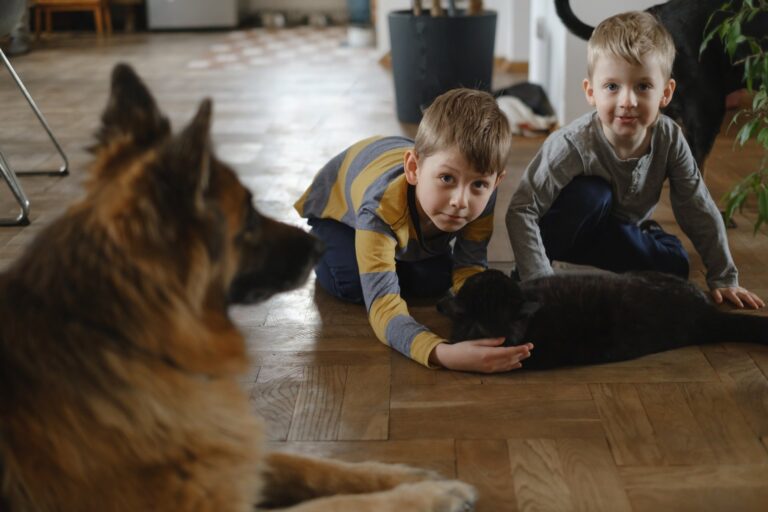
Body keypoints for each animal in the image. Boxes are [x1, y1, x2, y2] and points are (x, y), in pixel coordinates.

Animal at [0, 65, 476, 512]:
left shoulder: (235, 452)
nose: (318, 247)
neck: (124, 338)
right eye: (247, 217)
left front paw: (406, 474)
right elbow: (339, 503)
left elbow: (317, 465)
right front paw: (430, 495)